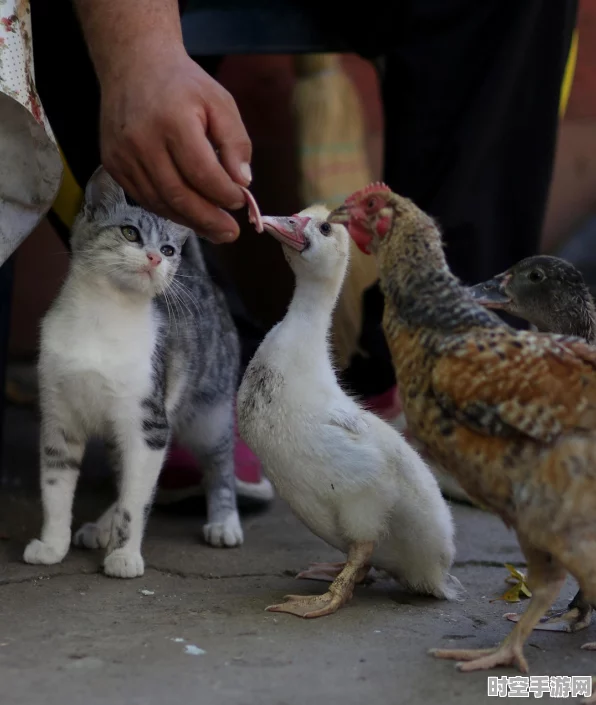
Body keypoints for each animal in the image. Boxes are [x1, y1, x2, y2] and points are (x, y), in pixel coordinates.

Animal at [23, 166, 242, 576]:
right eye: (130, 233)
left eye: (168, 249)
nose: (156, 257)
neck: (102, 317)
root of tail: (201, 276)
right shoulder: (59, 420)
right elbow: (55, 489)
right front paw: (53, 544)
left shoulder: (148, 425)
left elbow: (136, 501)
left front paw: (124, 555)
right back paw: (100, 527)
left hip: (211, 412)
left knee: (219, 463)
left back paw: (224, 522)